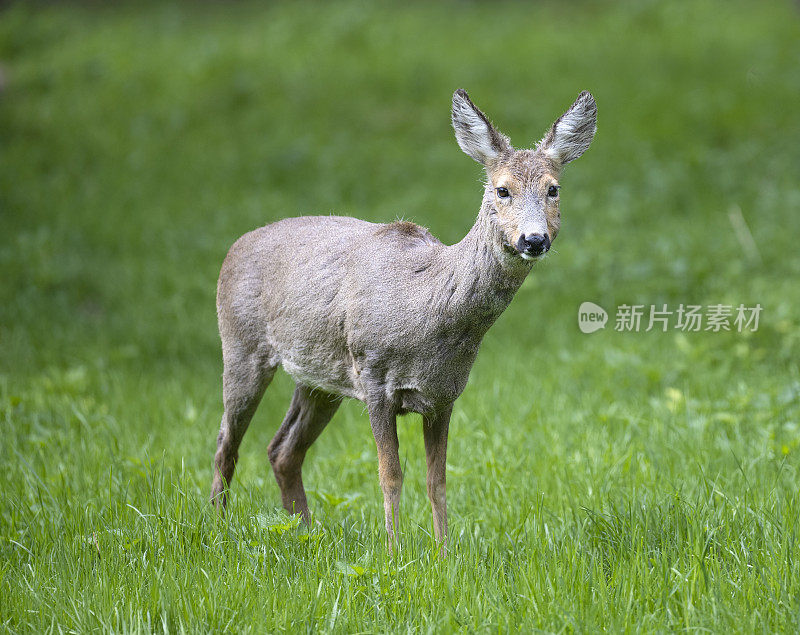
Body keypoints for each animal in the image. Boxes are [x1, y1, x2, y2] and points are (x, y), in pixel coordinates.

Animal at [209, 88, 596, 552]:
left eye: (553, 188)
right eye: (502, 190)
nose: (534, 239)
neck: (428, 312)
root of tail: (234, 247)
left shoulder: (445, 393)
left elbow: (438, 481)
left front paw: (444, 554)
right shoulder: (375, 378)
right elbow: (390, 475)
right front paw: (394, 552)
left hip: (320, 378)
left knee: (282, 449)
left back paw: (305, 532)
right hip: (241, 345)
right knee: (225, 443)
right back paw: (216, 529)